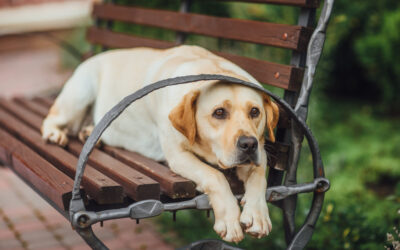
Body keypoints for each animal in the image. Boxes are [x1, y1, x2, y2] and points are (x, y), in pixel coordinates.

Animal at [40, 44, 278, 242]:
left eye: (255, 112)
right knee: (51, 118)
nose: (248, 144)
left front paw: (257, 214)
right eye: (219, 112)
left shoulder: (262, 151)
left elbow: (259, 176)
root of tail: (94, 56)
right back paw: (55, 134)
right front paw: (229, 219)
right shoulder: (177, 155)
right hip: (79, 95)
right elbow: (215, 176)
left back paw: (89, 133)